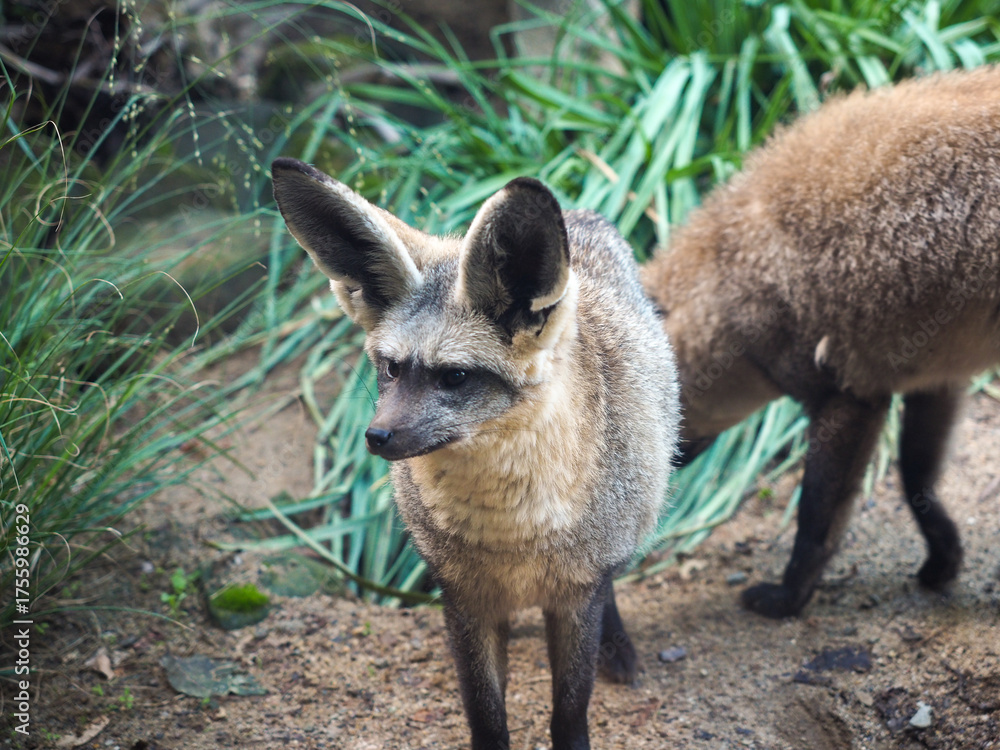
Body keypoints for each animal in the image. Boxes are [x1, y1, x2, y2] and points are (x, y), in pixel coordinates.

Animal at [271, 157, 680, 750]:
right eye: (391, 368)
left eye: (455, 377)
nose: (375, 436)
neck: (513, 533)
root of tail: (579, 212)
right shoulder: (465, 599)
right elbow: (485, 714)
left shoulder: (576, 594)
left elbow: (570, 709)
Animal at [642, 64, 1000, 620]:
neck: (733, 270)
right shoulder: (933, 377)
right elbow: (915, 480)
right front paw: (943, 560)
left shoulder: (846, 397)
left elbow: (815, 520)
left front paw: (789, 597)